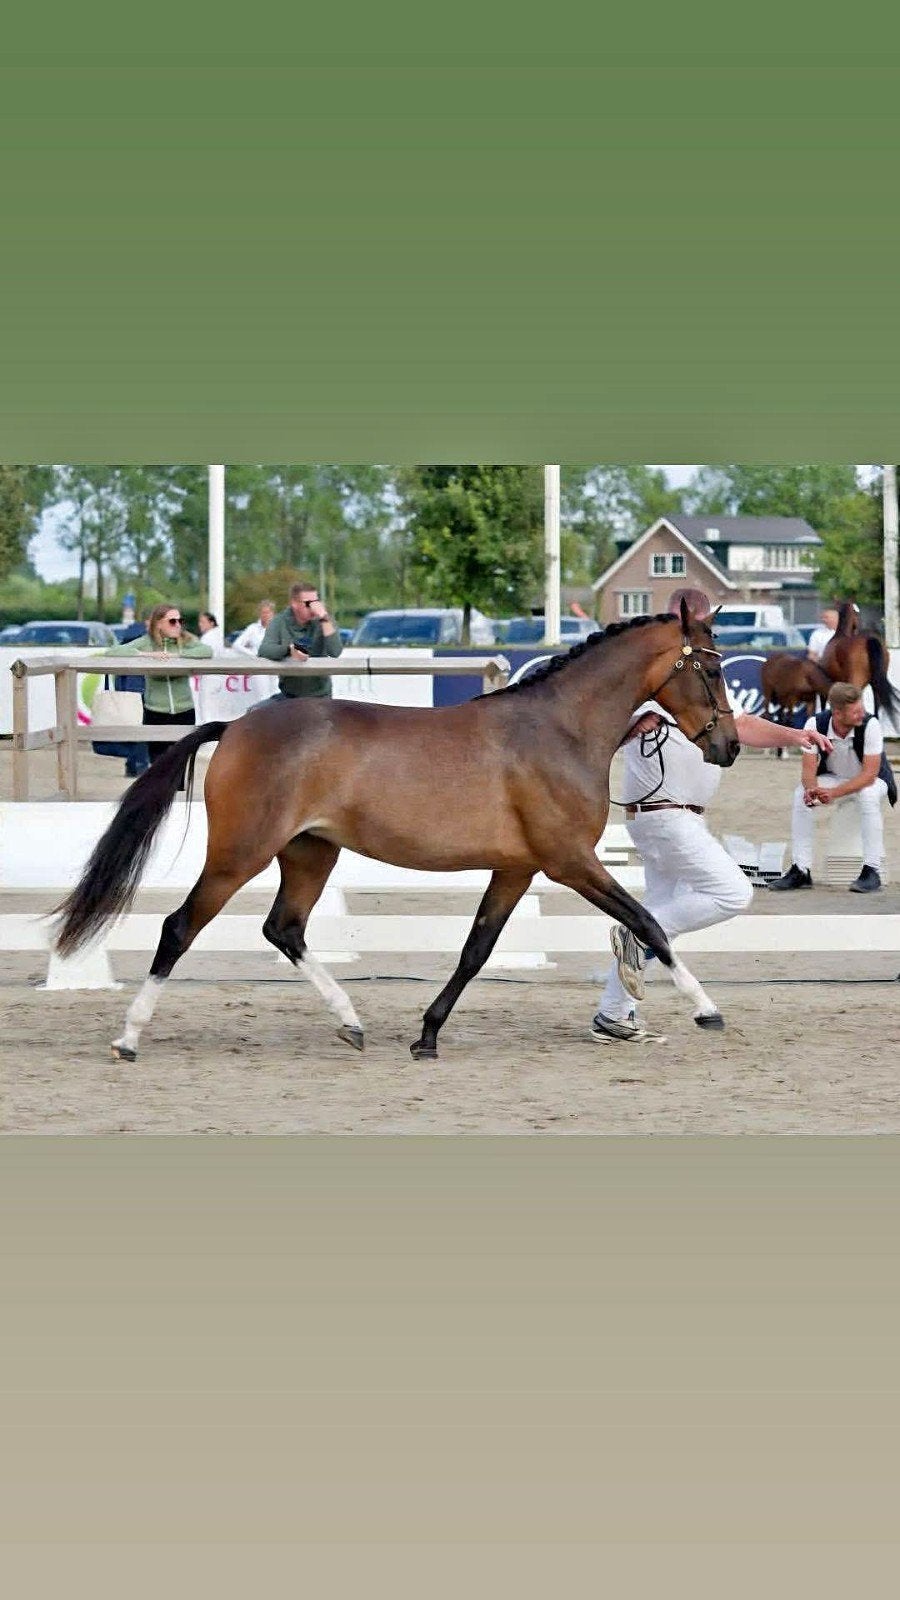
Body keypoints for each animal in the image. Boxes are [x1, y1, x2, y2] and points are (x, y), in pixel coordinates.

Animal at [53, 602, 740, 1062]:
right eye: (710, 670)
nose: (729, 747)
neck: (559, 730)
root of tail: (237, 726)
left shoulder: (518, 867)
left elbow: (476, 950)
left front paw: (427, 1035)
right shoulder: (569, 861)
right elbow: (648, 924)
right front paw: (707, 1009)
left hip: (310, 853)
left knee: (285, 928)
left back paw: (351, 1022)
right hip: (238, 855)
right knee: (180, 928)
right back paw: (128, 1038)